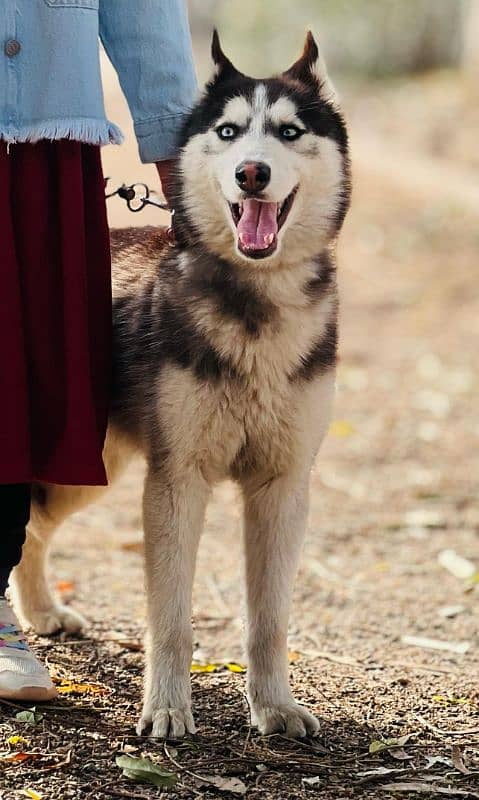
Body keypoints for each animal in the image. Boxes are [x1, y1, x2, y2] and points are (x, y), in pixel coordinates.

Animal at [11, 32, 350, 744]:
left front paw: (274, 706)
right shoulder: (176, 483)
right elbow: (170, 617)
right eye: (228, 131)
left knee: (31, 531)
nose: (252, 173)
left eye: (289, 131)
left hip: (84, 473)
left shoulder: (283, 487)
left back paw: (42, 610)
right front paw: (167, 707)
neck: (255, 308)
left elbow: (269, 620)